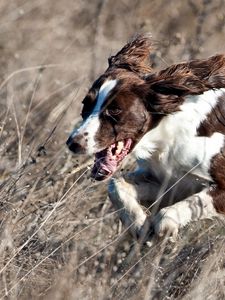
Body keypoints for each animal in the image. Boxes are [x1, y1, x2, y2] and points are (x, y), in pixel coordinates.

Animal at [67, 34, 225, 243]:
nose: (73, 143)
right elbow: (115, 185)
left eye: (115, 110)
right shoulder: (167, 182)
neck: (169, 137)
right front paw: (139, 225)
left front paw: (164, 230)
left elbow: (169, 213)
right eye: (86, 104)